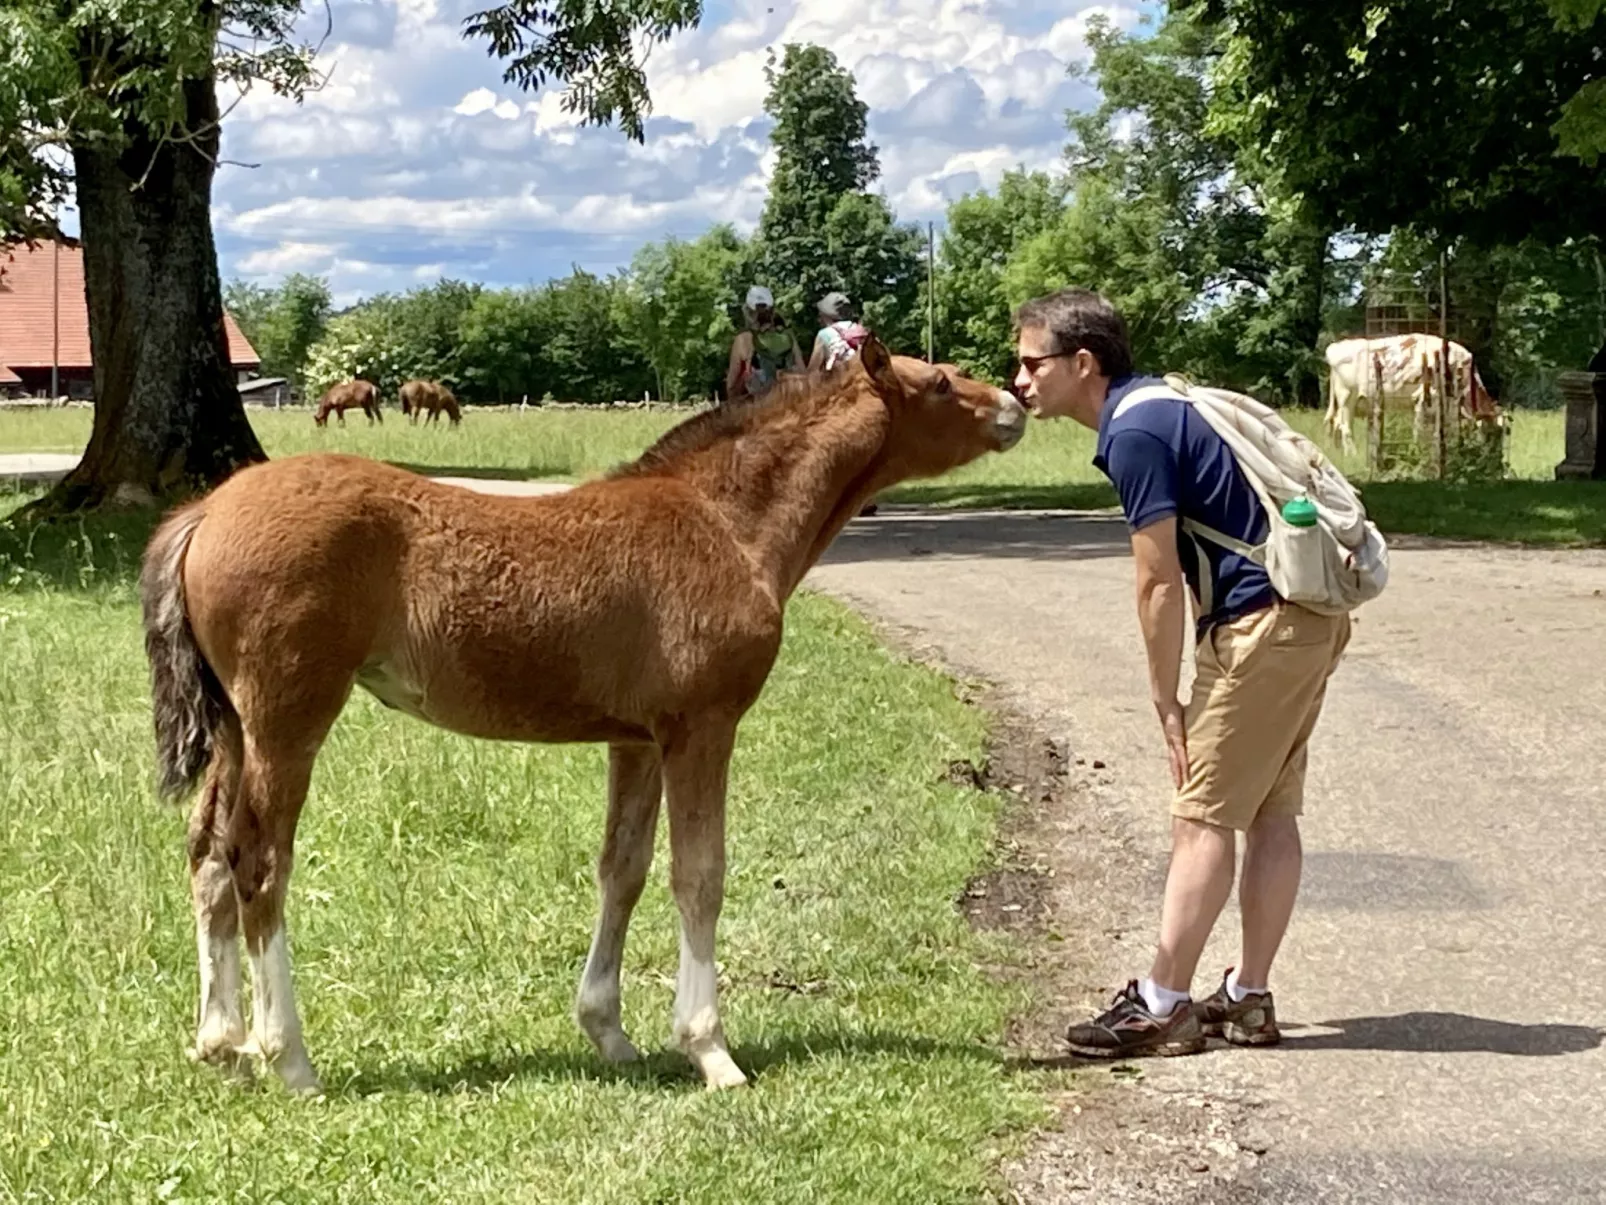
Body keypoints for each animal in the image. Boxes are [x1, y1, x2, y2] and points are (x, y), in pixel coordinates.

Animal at [141, 337, 1027, 1092]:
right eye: (938, 382)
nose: (1014, 401)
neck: (725, 522)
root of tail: (204, 514)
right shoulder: (703, 727)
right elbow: (699, 875)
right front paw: (710, 1049)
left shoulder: (637, 740)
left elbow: (622, 869)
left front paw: (610, 1030)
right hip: (288, 717)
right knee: (260, 862)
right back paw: (286, 1055)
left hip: (235, 726)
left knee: (208, 852)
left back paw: (219, 1042)